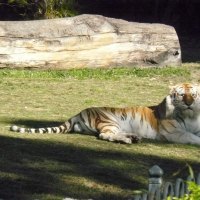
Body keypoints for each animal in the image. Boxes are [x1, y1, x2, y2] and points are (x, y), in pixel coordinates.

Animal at [10, 83, 200, 145]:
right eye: (181, 95)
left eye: (193, 94)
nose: (189, 103)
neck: (192, 117)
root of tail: (78, 112)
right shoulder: (174, 132)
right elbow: (192, 137)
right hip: (109, 120)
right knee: (105, 135)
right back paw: (128, 140)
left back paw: (133, 137)